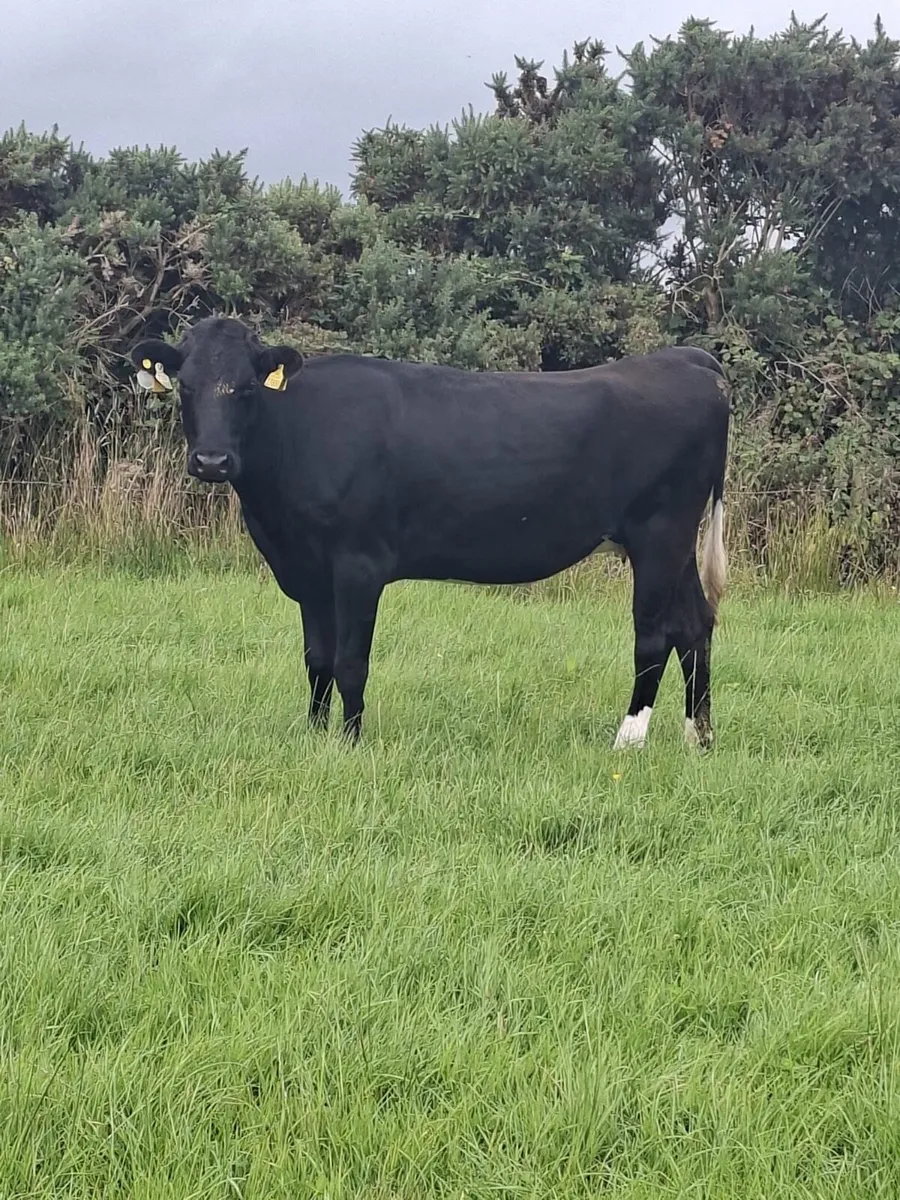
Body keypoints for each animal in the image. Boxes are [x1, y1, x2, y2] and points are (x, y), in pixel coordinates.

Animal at [131, 317, 730, 748]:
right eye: (185, 388)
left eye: (247, 389)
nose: (212, 461)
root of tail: (686, 358)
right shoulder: (307, 572)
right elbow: (317, 660)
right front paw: (314, 736)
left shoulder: (358, 564)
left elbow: (350, 661)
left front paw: (349, 744)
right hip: (674, 543)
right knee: (695, 625)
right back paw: (698, 738)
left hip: (659, 534)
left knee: (653, 636)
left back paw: (628, 741)